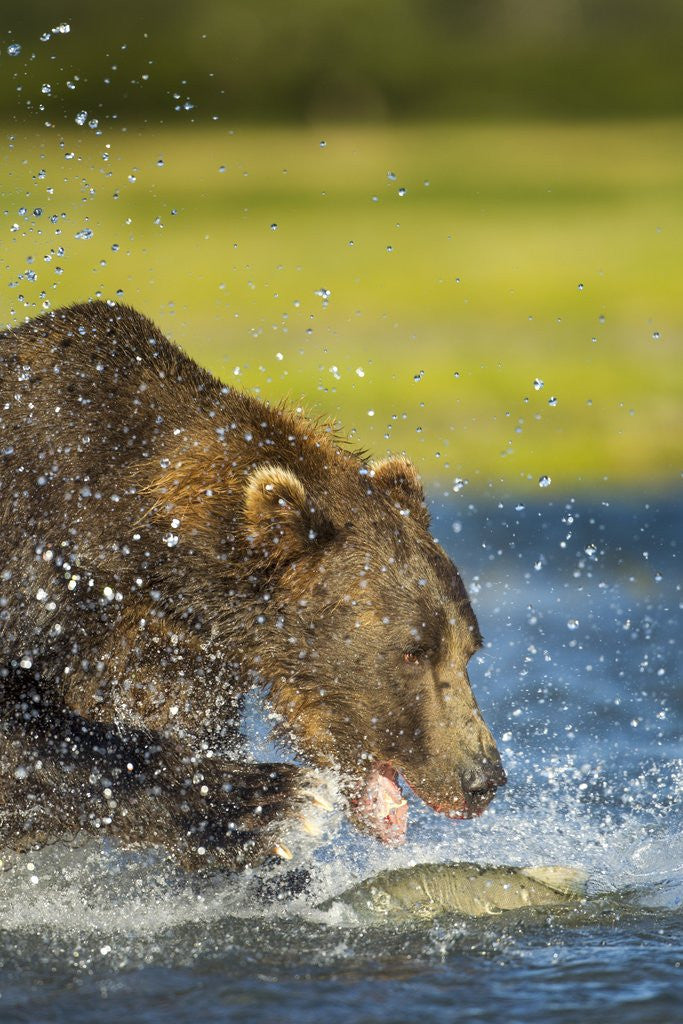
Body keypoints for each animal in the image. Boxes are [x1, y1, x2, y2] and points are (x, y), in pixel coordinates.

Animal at [0, 301, 505, 870]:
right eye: (412, 652)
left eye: (469, 649)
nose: (482, 779)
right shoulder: (42, 574)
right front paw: (268, 799)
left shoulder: (175, 658)